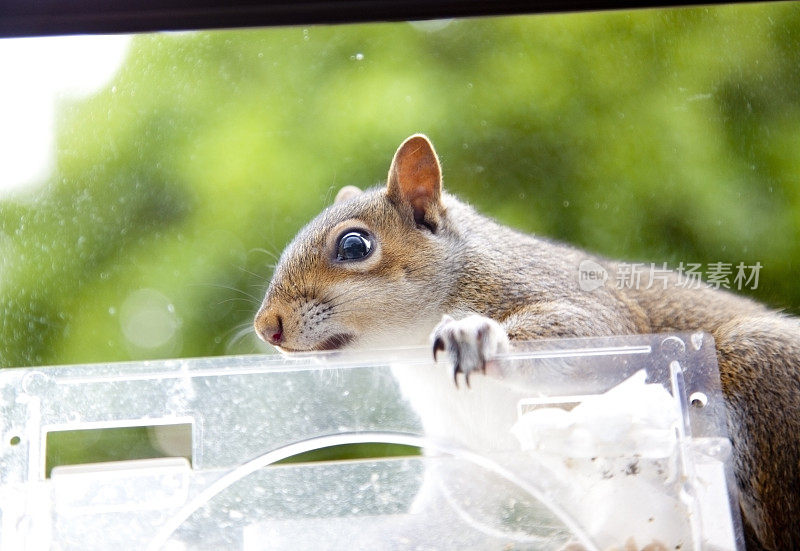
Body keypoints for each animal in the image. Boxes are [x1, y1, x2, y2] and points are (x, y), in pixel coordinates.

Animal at [256, 134, 800, 551]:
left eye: (354, 245)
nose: (266, 327)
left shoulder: (579, 302)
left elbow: (591, 330)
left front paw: (477, 336)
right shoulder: (464, 452)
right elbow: (447, 513)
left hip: (762, 366)